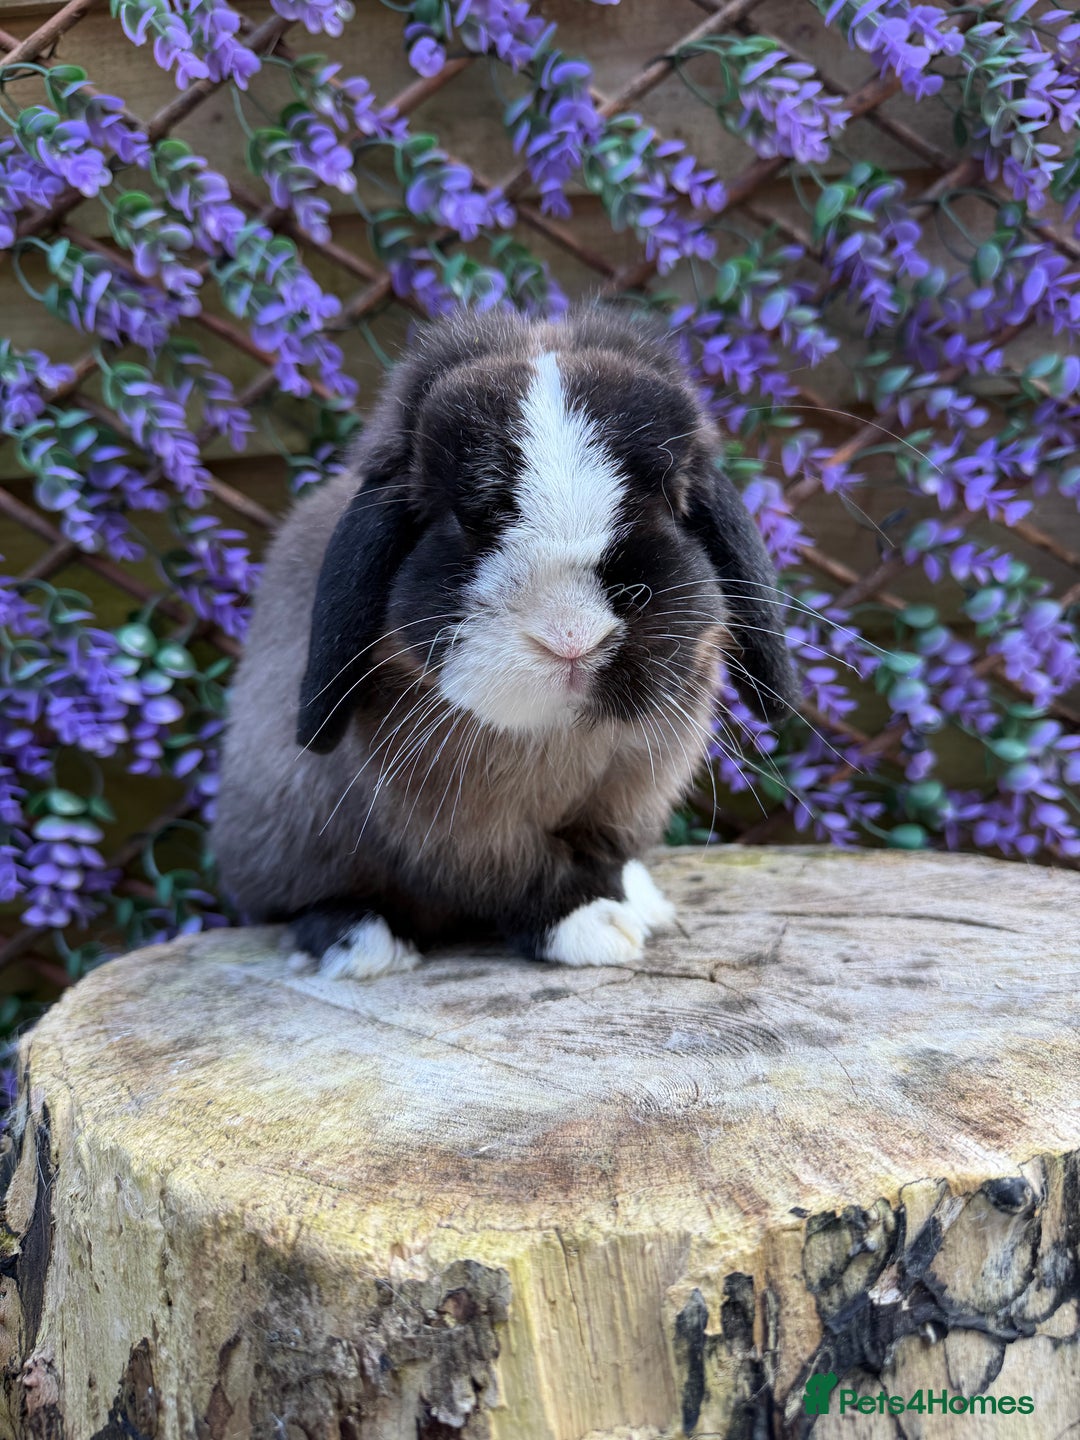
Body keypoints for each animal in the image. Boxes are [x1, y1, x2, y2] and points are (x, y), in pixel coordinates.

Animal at [211, 306, 798, 980]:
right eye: (461, 518)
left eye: (670, 502)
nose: (572, 637)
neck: (563, 733)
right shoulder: (457, 821)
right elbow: (517, 874)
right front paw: (591, 928)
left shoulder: (626, 794)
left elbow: (606, 853)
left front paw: (626, 904)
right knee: (298, 905)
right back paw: (360, 942)